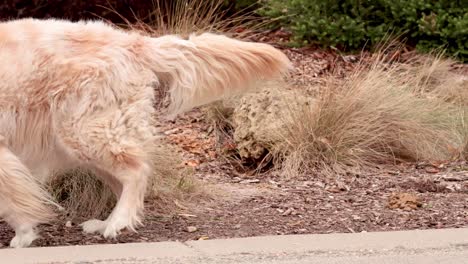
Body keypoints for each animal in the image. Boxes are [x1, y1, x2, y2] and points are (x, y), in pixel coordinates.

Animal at [0, 18, 288, 248]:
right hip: (88, 139)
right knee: (126, 179)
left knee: (135, 172)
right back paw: (111, 221)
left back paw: (117, 222)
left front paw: (23, 235)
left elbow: (13, 200)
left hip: (87, 131)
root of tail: (132, 42)